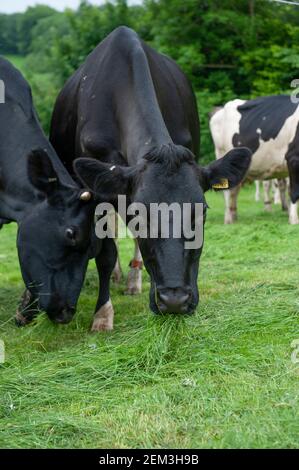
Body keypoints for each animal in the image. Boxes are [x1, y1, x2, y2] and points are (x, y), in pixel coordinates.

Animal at [50, 26, 252, 330]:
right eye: (139, 214)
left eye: (202, 213)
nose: (174, 301)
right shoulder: (95, 191)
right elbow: (106, 252)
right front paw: (103, 314)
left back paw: (133, 281)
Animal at [210, 95, 299, 224]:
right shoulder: (293, 159)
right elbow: (294, 191)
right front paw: (294, 220)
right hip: (222, 158)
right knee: (227, 191)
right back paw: (228, 219)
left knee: (234, 191)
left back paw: (234, 215)